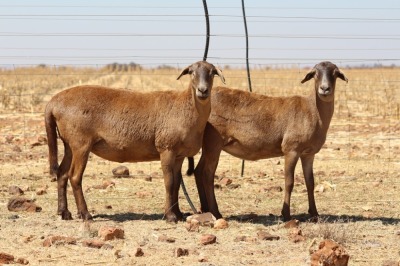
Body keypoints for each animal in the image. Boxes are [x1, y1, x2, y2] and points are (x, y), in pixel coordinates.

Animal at [45, 60, 225, 222]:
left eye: (212, 72)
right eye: (192, 72)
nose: (203, 90)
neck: (186, 108)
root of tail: (53, 103)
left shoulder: (179, 155)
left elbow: (176, 184)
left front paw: (179, 214)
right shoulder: (166, 148)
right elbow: (169, 182)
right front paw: (170, 216)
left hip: (69, 144)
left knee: (62, 174)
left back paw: (64, 213)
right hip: (80, 143)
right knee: (74, 177)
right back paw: (85, 214)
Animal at [188, 61, 346, 221]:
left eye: (335, 74)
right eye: (315, 74)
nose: (324, 89)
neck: (313, 110)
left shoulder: (308, 154)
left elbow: (310, 182)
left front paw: (314, 213)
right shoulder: (291, 149)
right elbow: (289, 182)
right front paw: (286, 214)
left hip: (208, 144)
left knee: (198, 171)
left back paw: (205, 209)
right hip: (214, 142)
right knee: (207, 174)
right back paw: (216, 212)